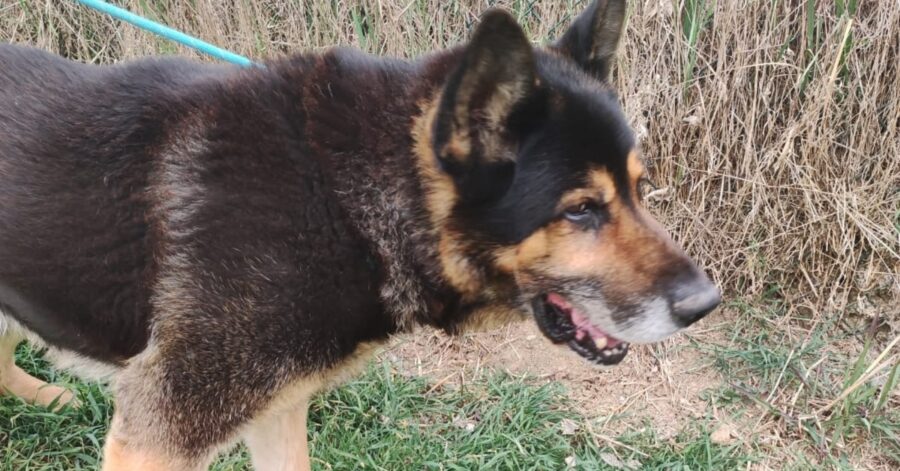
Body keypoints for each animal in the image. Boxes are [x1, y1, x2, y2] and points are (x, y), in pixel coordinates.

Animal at [0, 1, 716, 470]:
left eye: (638, 189)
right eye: (581, 210)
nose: (706, 305)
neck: (341, 196)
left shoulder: (277, 410)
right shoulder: (159, 434)